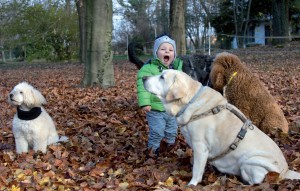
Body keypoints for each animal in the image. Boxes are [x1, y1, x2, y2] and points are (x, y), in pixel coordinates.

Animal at [143, 70, 300, 185]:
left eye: (162, 77)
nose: (143, 77)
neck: (190, 101)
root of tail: (286, 171)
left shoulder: (200, 146)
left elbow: (197, 170)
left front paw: (192, 184)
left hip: (250, 163)